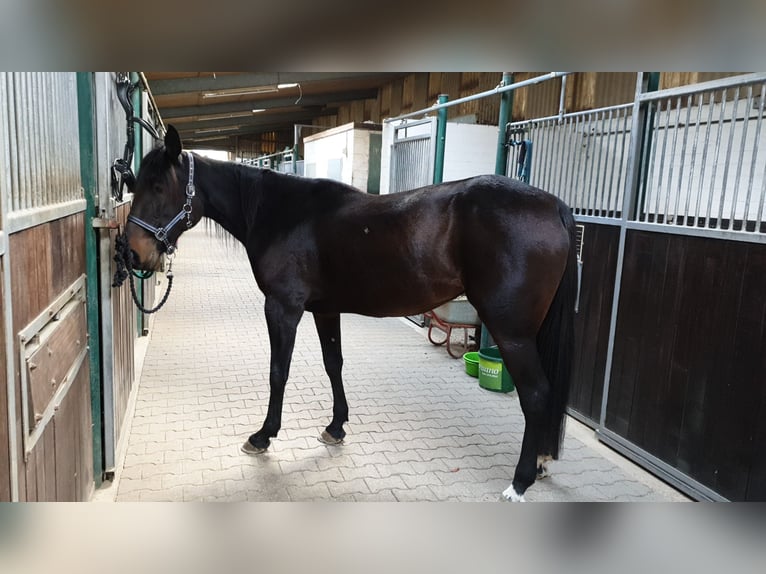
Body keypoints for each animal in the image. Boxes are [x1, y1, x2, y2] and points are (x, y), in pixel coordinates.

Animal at [123, 125, 578, 501]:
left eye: (158, 185)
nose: (132, 254)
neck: (281, 213)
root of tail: (554, 205)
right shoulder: (325, 310)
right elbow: (333, 364)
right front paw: (335, 427)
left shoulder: (283, 308)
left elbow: (278, 371)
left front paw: (263, 435)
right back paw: (540, 462)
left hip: (511, 332)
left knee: (536, 394)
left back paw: (520, 481)